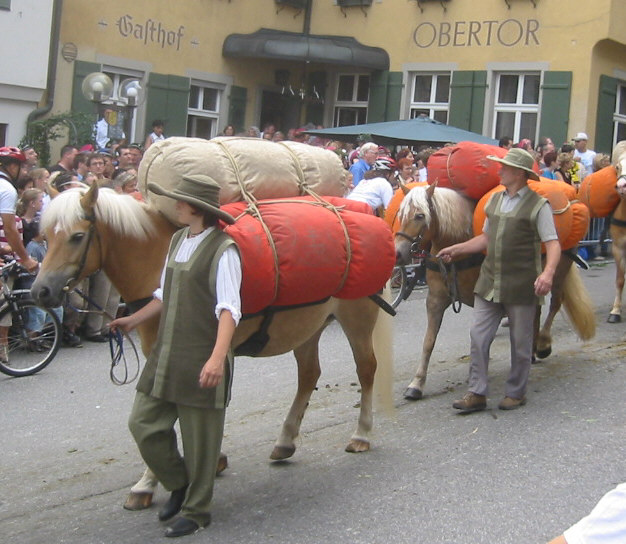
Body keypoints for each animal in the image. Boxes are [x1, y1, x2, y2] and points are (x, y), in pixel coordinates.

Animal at [31, 187, 390, 510]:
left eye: (77, 236)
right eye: (45, 235)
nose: (40, 291)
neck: (160, 261)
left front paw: (149, 481)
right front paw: (204, 463)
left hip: (357, 316)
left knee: (367, 369)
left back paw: (361, 434)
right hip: (307, 324)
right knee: (309, 374)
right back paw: (285, 441)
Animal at [394, 183, 596, 400]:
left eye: (420, 215)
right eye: (400, 214)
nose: (397, 253)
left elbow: (483, 336)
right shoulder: (435, 300)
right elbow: (429, 341)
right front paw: (416, 383)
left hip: (558, 270)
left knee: (555, 303)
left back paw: (542, 344)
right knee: (536, 313)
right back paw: (531, 351)